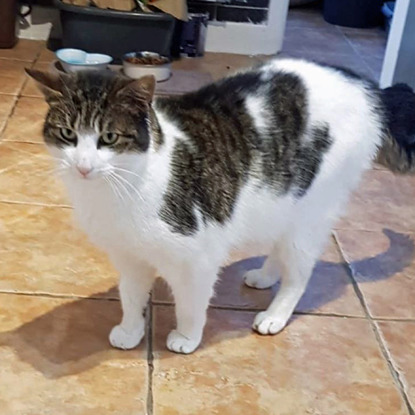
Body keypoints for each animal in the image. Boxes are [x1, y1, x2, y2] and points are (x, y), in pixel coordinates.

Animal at [26, 59, 415, 354]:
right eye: (67, 135)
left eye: (108, 137)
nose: (83, 166)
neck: (118, 190)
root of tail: (368, 86)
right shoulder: (128, 255)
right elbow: (131, 295)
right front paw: (131, 329)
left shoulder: (197, 257)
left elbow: (190, 302)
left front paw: (186, 337)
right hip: (283, 201)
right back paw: (265, 275)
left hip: (312, 211)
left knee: (300, 273)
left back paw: (275, 314)